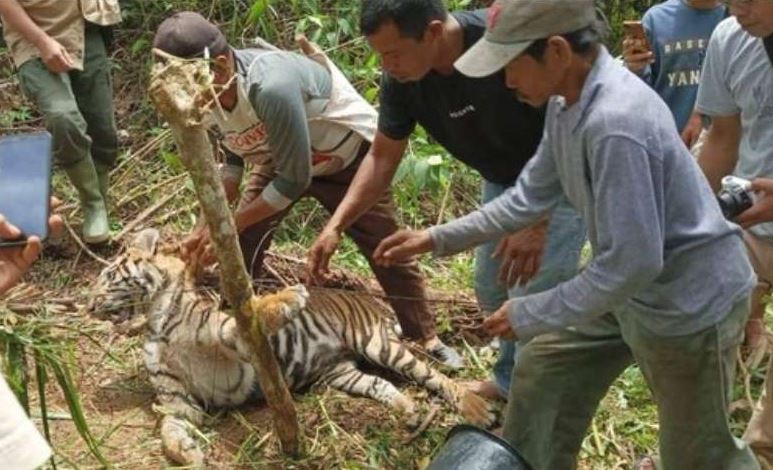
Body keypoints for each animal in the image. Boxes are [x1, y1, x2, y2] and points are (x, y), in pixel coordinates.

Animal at [86, 229, 494, 466]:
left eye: (107, 275)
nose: (87, 305)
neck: (155, 322)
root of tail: (370, 302)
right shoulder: (178, 402)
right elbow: (169, 429)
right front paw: (186, 452)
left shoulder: (232, 339)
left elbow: (247, 314)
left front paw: (288, 297)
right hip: (340, 373)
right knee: (381, 384)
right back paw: (408, 411)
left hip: (377, 345)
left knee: (433, 375)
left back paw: (477, 408)